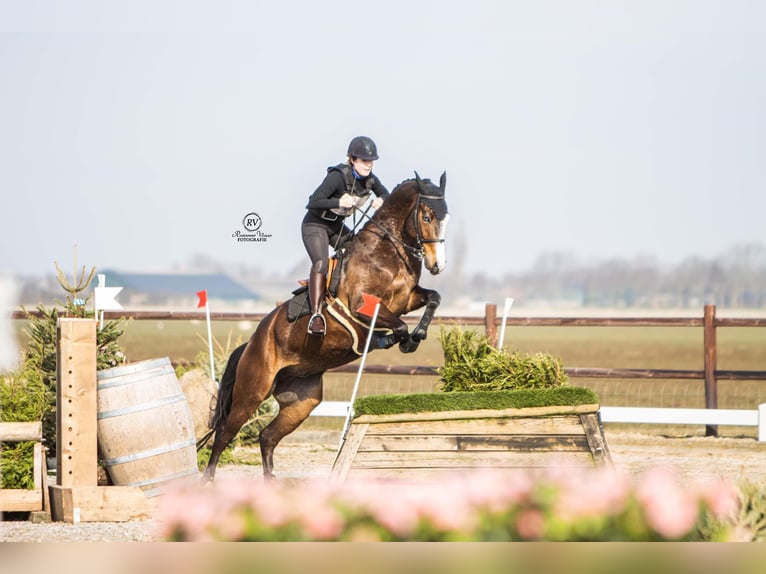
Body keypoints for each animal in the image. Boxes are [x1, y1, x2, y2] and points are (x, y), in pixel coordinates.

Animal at [201, 170, 450, 482]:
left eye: (446, 217)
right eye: (427, 217)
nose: (437, 265)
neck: (385, 254)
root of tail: (251, 343)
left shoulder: (406, 300)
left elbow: (433, 298)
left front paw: (418, 335)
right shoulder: (362, 307)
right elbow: (399, 326)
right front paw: (400, 340)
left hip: (302, 400)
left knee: (267, 436)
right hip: (253, 391)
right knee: (225, 432)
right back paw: (207, 480)